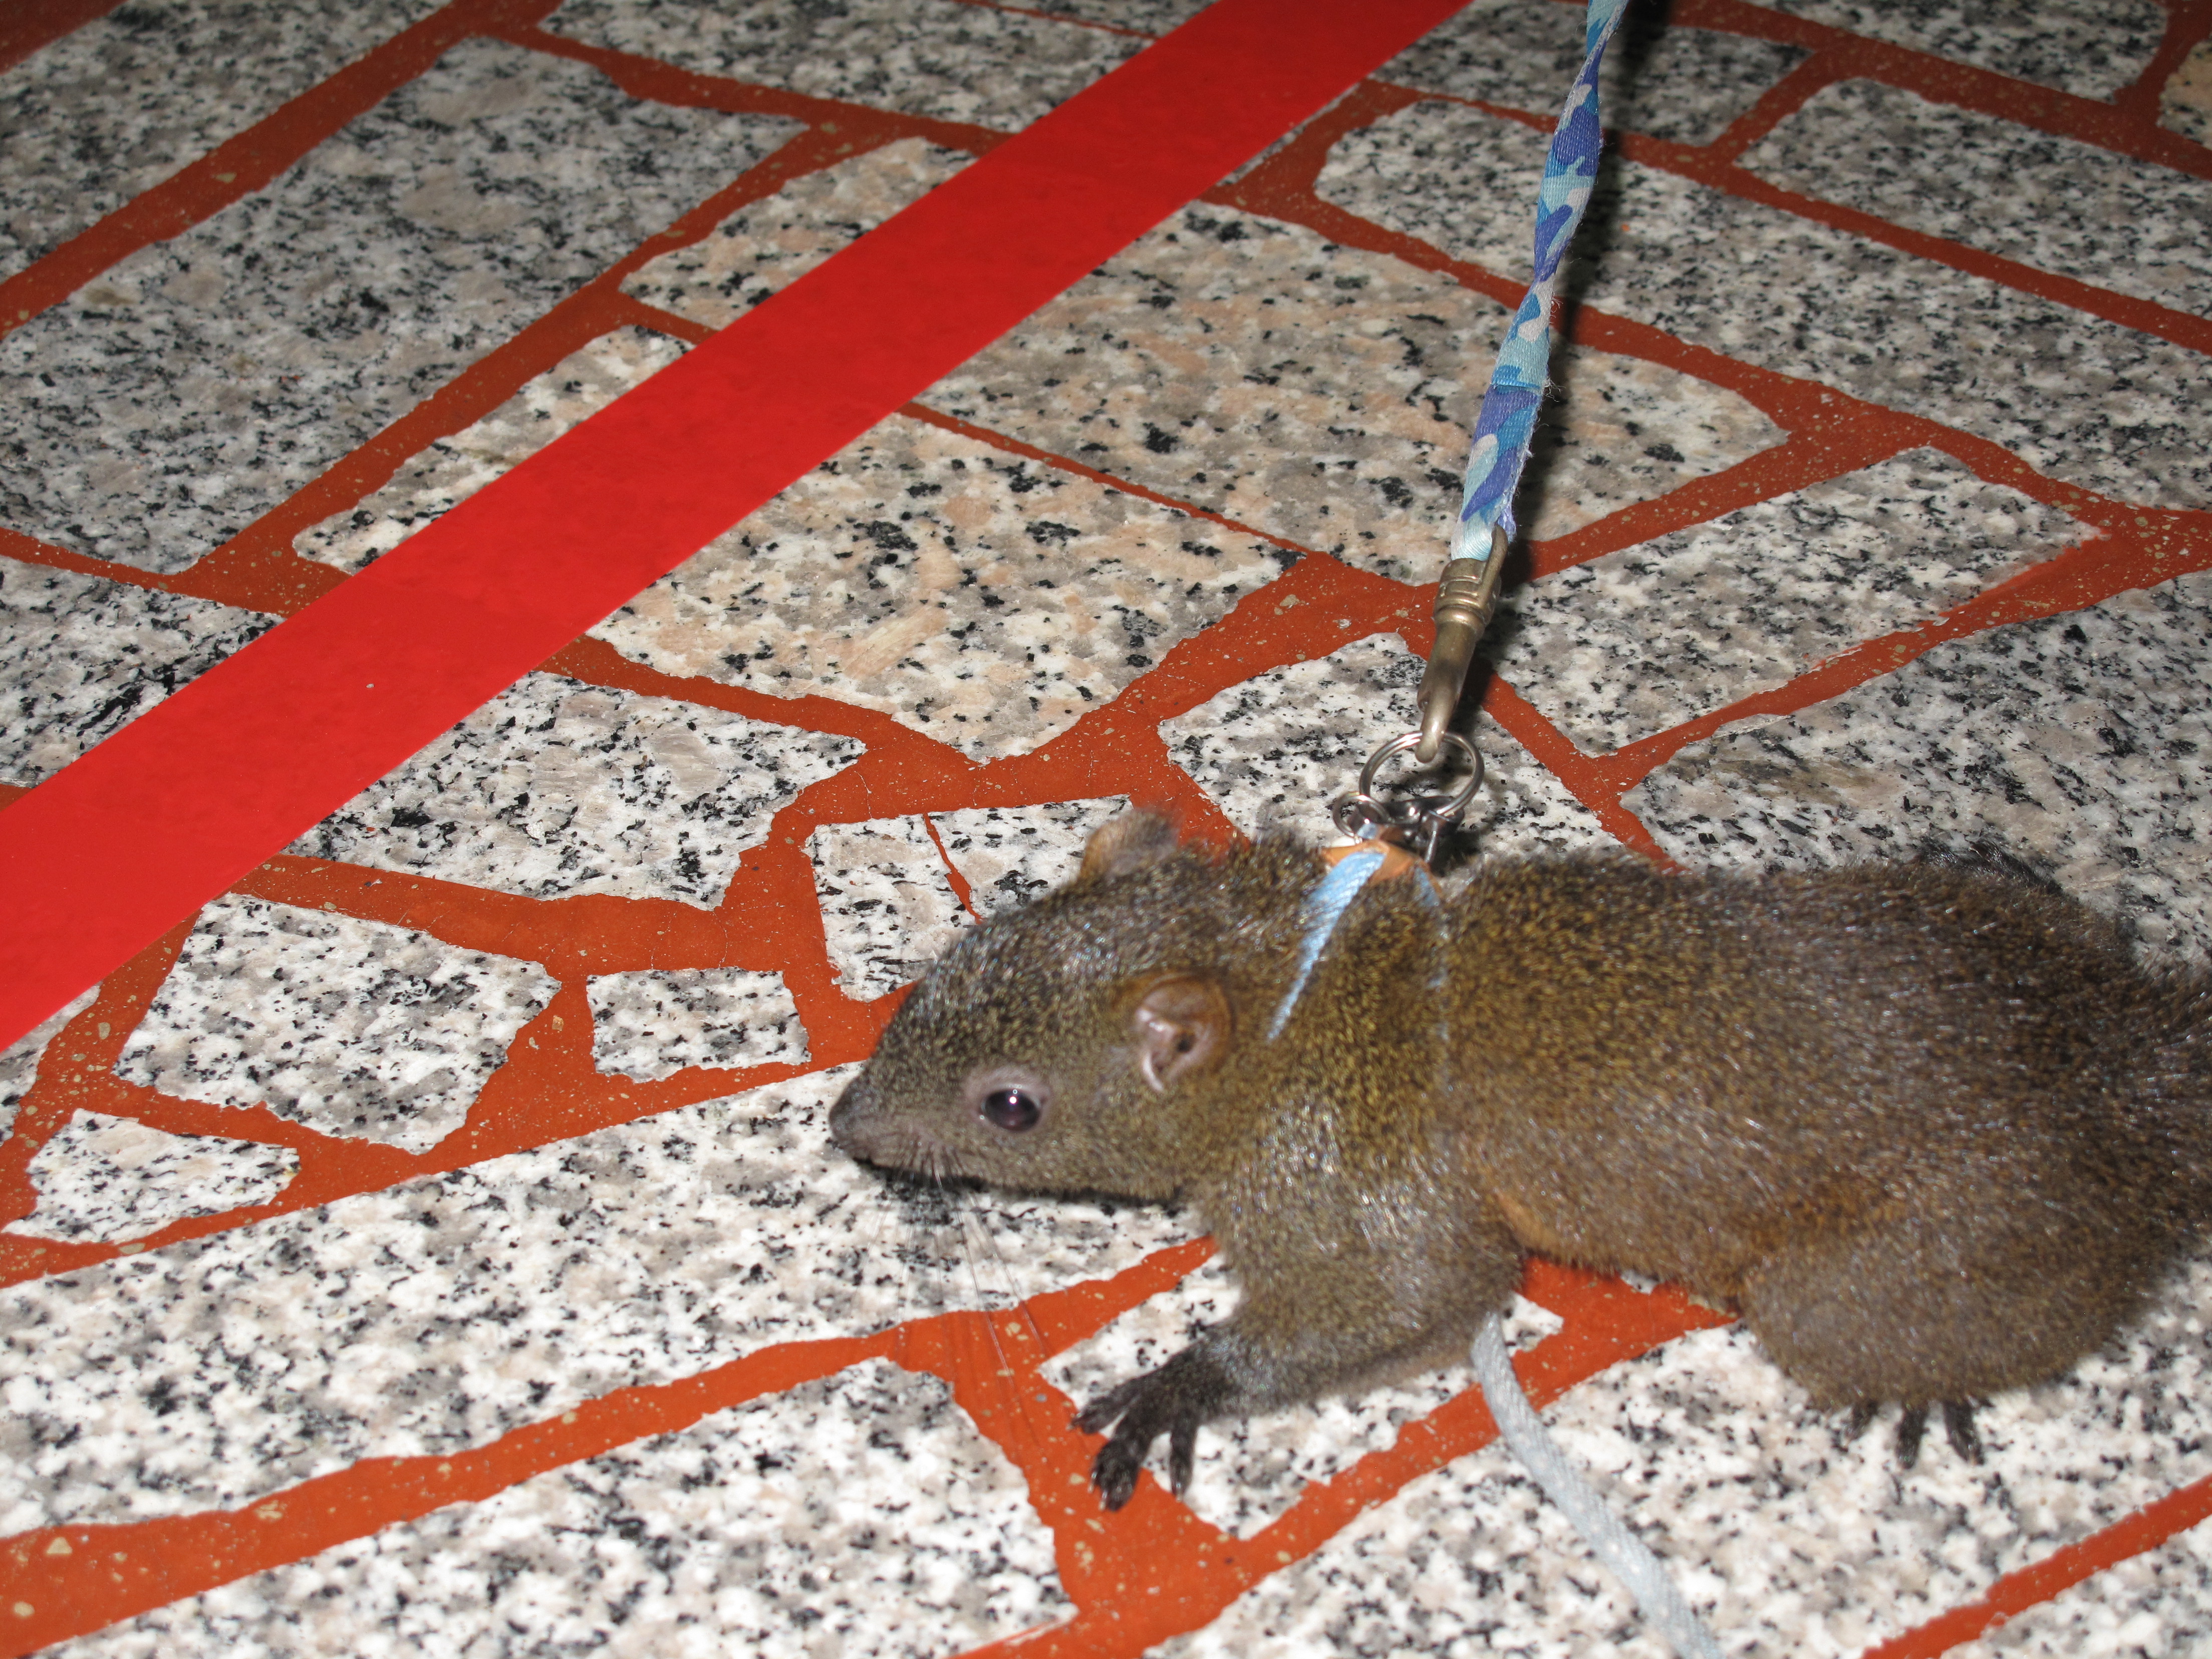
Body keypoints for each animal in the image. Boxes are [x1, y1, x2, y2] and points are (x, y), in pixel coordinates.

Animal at [829, 812, 2212, 1509]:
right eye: (946, 969)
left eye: (1011, 1106)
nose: (847, 1125)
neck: (1298, 990)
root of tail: (2144, 1078)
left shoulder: (1352, 1173)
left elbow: (1416, 1294)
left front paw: (1181, 1385)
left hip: (1885, 1281)